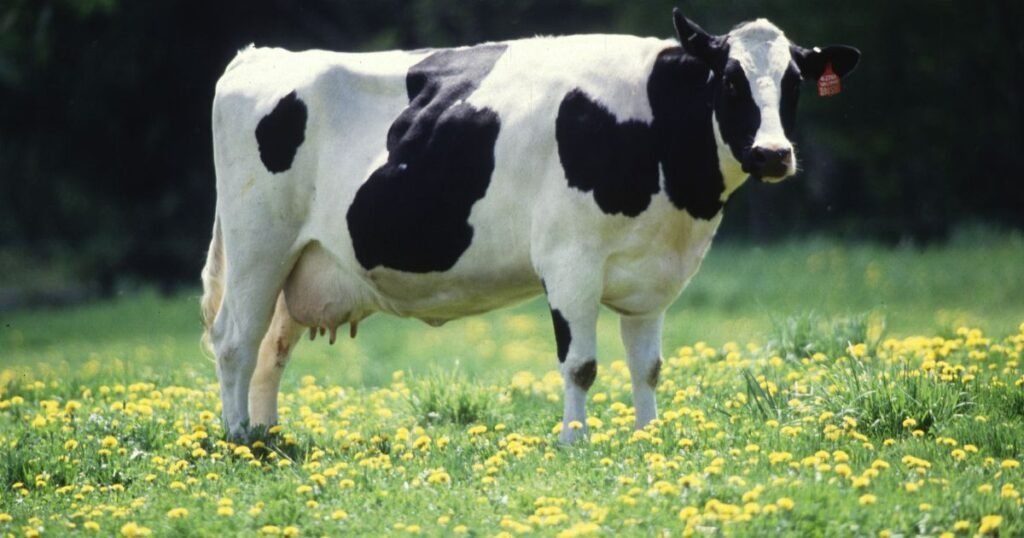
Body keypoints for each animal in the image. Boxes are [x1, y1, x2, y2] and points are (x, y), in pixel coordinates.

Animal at [201, 9, 859, 443]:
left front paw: (648, 438)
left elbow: (647, 366)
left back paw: (268, 435)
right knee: (235, 340)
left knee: (271, 348)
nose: (773, 154)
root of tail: (260, 55)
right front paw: (575, 442)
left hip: (300, 261)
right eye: (729, 79)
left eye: (794, 82)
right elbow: (581, 364)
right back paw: (239, 439)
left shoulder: (653, 276)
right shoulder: (570, 261)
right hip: (258, 245)